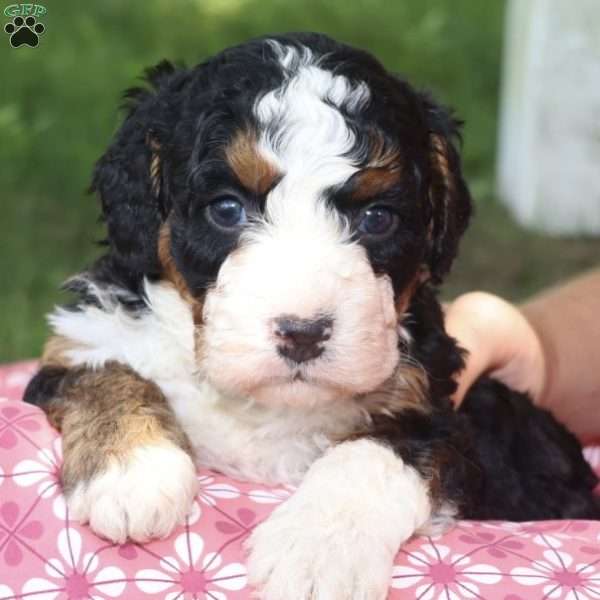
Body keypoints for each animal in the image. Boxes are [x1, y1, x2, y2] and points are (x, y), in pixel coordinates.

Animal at [23, 32, 600, 600]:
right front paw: (134, 470)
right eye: (226, 209)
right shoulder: (82, 340)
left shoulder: (445, 417)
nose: (303, 334)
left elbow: (375, 451)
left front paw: (319, 549)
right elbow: (105, 372)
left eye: (377, 218)